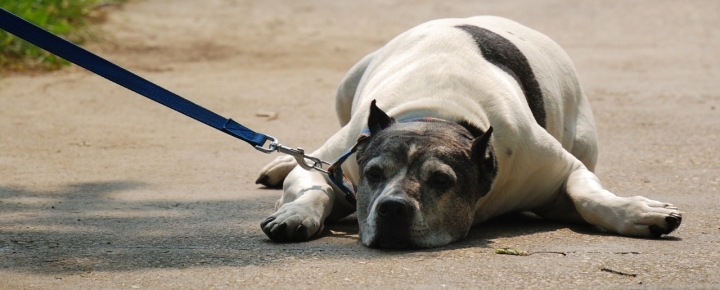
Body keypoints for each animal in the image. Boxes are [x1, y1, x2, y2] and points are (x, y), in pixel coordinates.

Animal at [256, 15, 684, 248]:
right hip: (345, 86)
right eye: (373, 174)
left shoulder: (562, 170)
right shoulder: (337, 163)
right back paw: (280, 165)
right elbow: (312, 186)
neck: (434, 115)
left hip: (584, 139)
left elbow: (587, 195)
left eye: (442, 181)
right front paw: (295, 213)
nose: (392, 208)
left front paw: (636, 211)